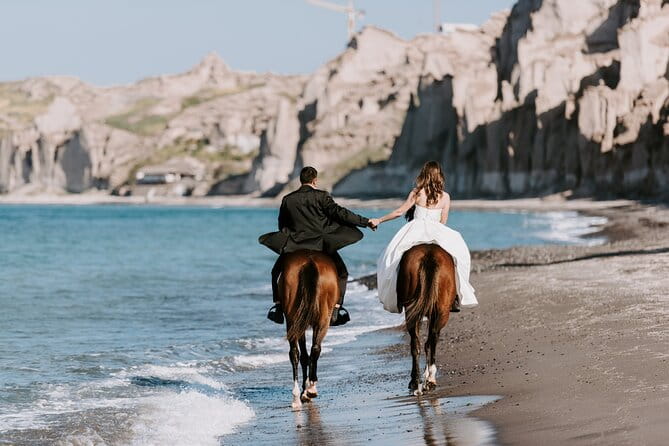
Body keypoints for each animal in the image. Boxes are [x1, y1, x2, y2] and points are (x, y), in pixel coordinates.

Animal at [278, 249, 340, 409]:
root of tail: (309, 262)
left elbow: (304, 356)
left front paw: (304, 390)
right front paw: (307, 389)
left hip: (295, 320)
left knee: (296, 352)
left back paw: (297, 396)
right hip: (322, 319)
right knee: (313, 349)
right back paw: (309, 390)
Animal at [397, 243, 457, 395]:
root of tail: (429, 256)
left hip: (412, 311)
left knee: (415, 343)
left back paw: (415, 382)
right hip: (442, 312)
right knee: (432, 340)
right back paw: (429, 380)